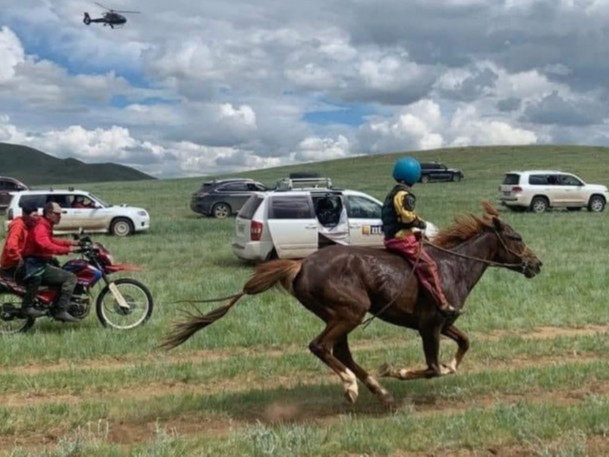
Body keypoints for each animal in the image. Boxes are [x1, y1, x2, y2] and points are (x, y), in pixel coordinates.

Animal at [162, 203, 540, 406]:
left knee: (339, 351)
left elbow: (463, 345)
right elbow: (431, 368)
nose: (536, 264)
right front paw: (397, 370)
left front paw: (447, 366)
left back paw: (378, 391)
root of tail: (300, 265)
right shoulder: (430, 326)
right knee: (321, 346)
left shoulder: (445, 323)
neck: (453, 267)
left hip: (340, 316)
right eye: (517, 237)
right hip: (350, 312)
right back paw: (354, 386)